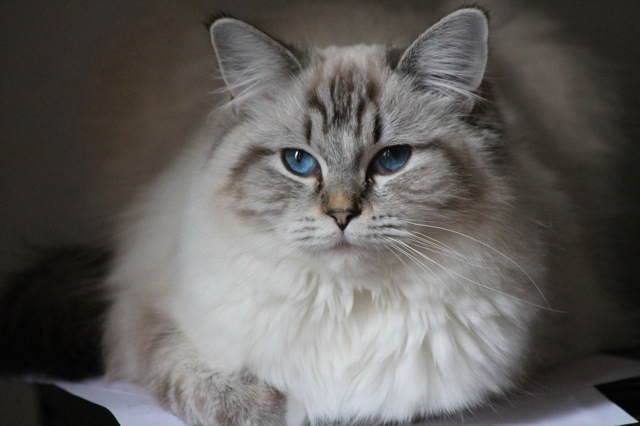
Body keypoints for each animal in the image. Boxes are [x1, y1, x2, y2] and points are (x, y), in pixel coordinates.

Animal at [0, 0, 636, 424]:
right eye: (299, 163)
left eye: (393, 160)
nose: (341, 214)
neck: (346, 303)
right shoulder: (144, 310)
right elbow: (197, 379)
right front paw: (262, 407)